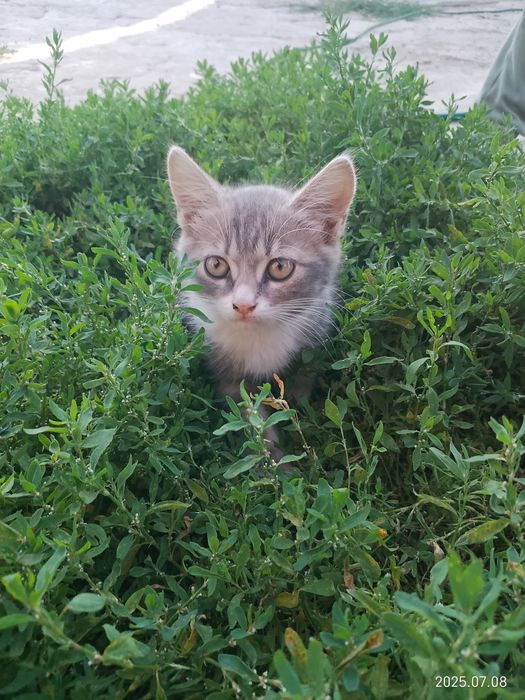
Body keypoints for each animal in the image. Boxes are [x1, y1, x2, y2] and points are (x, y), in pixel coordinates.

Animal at [167, 146, 356, 445]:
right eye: (216, 265)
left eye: (280, 267)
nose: (243, 305)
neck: (258, 339)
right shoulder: (228, 377)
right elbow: (251, 418)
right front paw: (271, 454)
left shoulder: (308, 354)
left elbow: (298, 397)